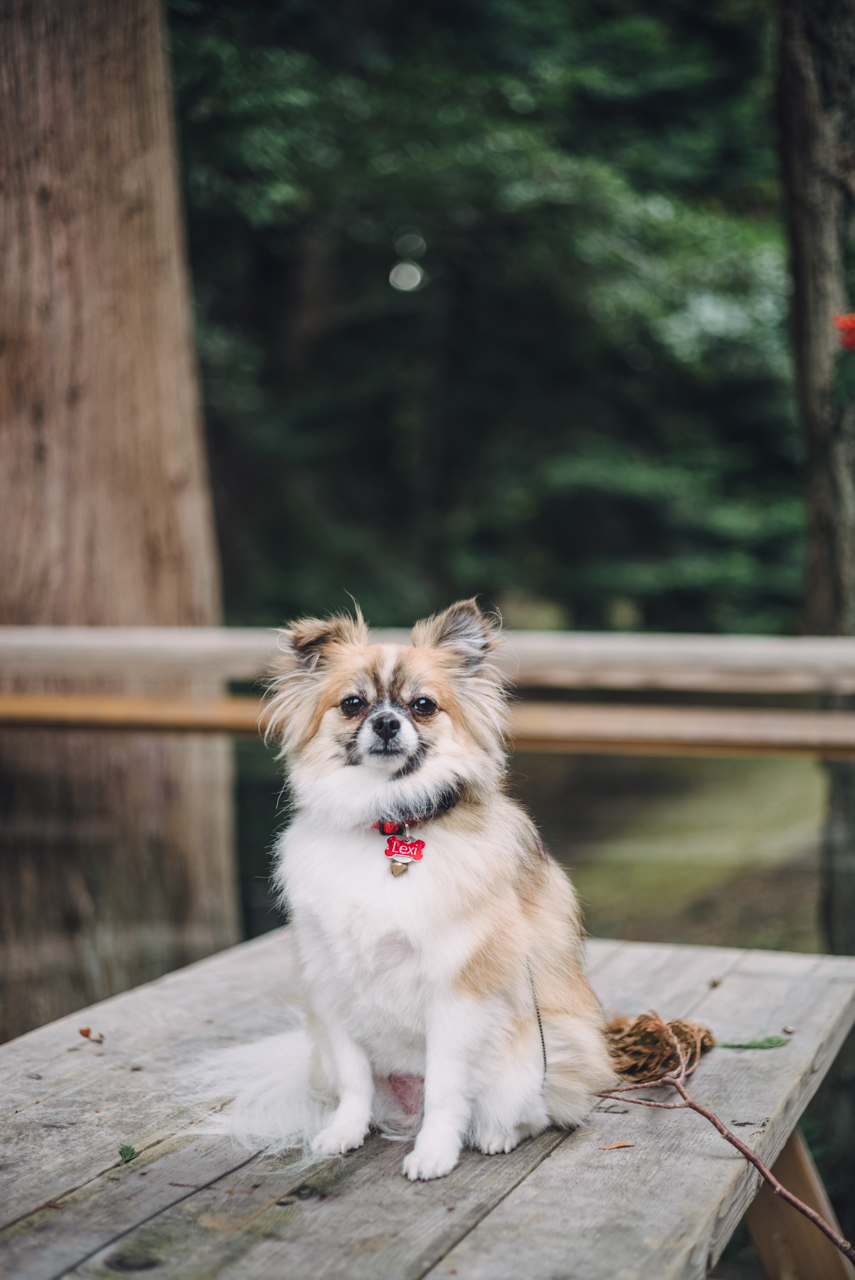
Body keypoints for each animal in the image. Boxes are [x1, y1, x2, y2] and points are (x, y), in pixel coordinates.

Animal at [234, 599, 611, 1177]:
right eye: (352, 704)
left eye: (423, 706)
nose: (388, 722)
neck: (386, 823)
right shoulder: (334, 988)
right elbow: (355, 1083)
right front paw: (343, 1132)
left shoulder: (455, 991)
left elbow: (447, 1090)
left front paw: (434, 1152)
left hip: (531, 1056)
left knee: (531, 1110)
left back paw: (496, 1134)